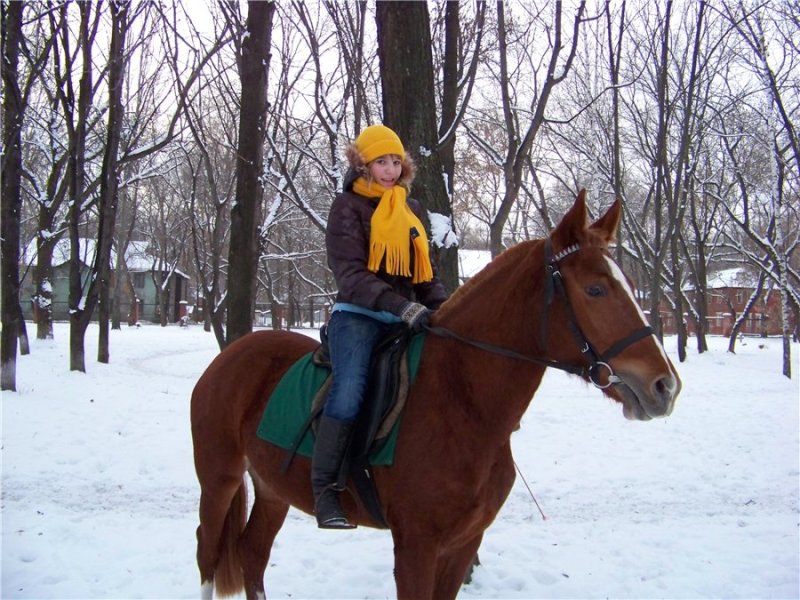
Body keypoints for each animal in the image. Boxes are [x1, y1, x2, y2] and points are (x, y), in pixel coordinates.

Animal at [189, 191, 680, 600]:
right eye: (595, 289)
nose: (665, 385)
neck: (461, 402)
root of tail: (230, 355)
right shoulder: (416, 546)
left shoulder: (463, 543)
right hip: (220, 480)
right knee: (207, 554)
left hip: (273, 488)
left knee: (252, 555)